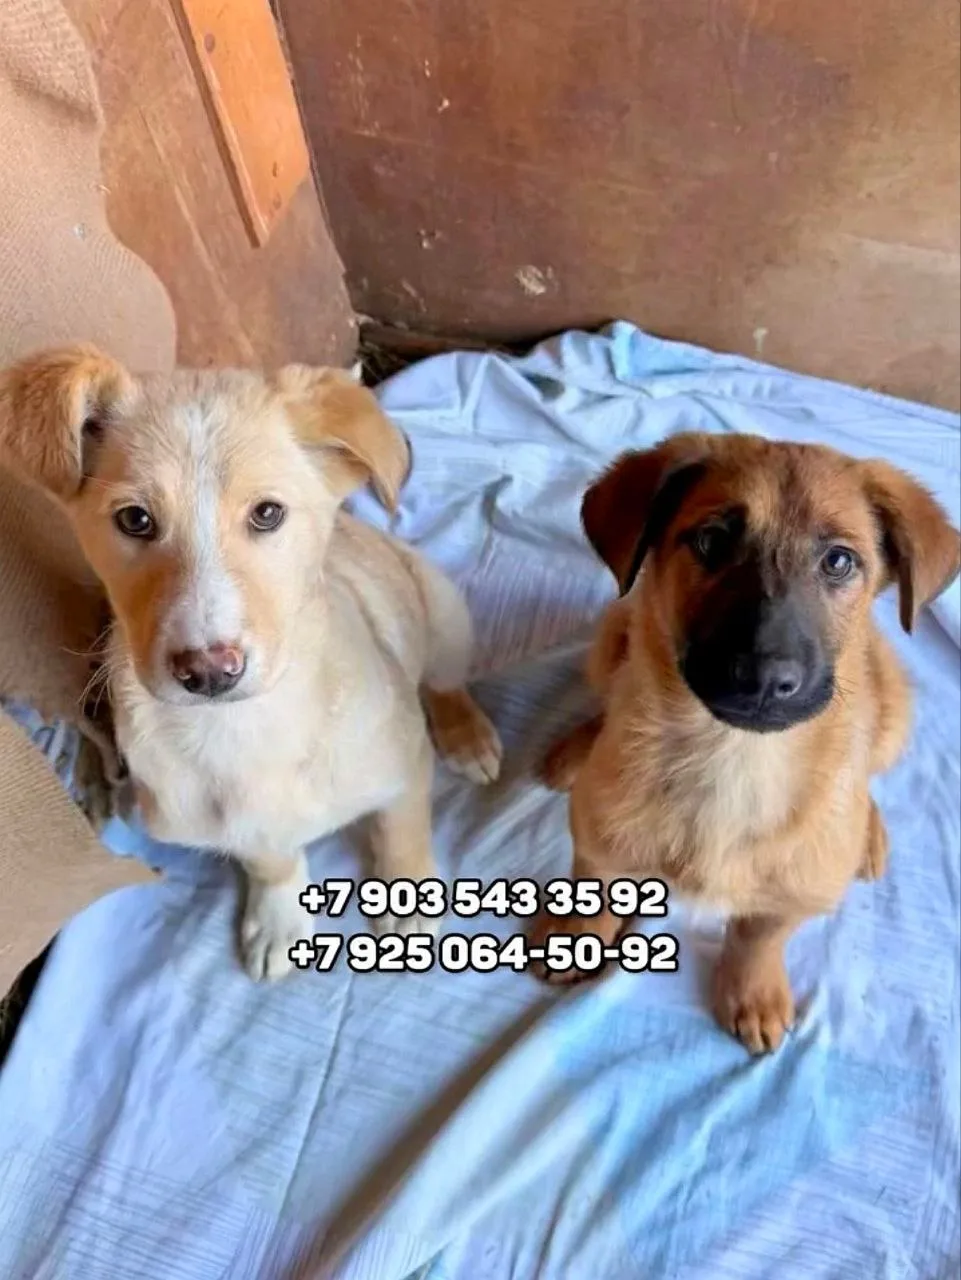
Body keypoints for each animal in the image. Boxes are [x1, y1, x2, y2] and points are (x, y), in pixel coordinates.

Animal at [0, 347, 502, 980]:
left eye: (267, 514)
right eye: (134, 520)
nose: (209, 671)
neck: (240, 730)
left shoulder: (405, 766)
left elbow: (400, 836)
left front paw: (407, 903)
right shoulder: (232, 827)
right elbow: (271, 859)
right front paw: (279, 918)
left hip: (440, 609)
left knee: (444, 680)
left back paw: (469, 736)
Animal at [532, 432, 960, 1053]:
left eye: (839, 560)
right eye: (711, 541)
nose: (764, 678)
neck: (733, 755)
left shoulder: (794, 893)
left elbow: (760, 936)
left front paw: (752, 991)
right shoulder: (599, 836)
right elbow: (595, 883)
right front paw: (577, 936)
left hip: (894, 711)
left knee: (869, 774)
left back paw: (869, 834)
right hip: (614, 635)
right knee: (607, 696)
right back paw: (575, 751)